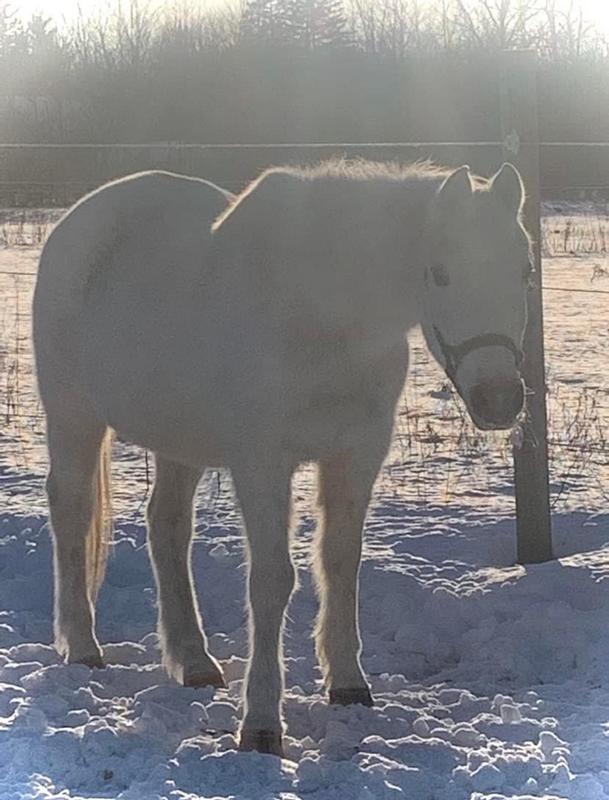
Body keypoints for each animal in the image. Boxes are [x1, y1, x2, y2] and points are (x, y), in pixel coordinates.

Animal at [33, 160, 531, 756]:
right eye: (440, 273)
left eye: (525, 270)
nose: (499, 399)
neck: (320, 316)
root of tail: (80, 220)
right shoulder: (264, 464)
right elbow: (272, 581)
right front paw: (262, 723)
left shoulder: (356, 457)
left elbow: (340, 563)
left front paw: (348, 685)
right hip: (74, 417)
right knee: (72, 512)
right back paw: (83, 647)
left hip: (179, 441)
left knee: (167, 527)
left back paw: (194, 662)